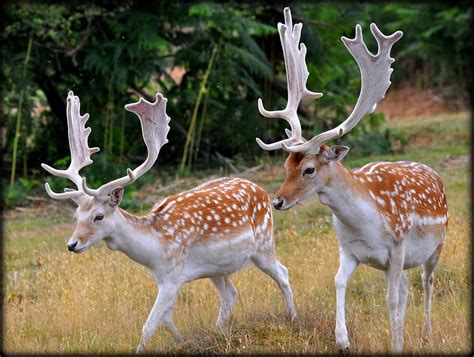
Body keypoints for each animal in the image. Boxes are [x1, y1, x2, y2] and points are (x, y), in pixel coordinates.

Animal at [42, 90, 294, 352]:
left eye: (98, 216)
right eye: (76, 216)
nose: (72, 244)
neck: (154, 249)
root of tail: (262, 190)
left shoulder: (173, 277)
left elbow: (149, 325)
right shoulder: (162, 278)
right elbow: (166, 319)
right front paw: (183, 341)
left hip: (264, 242)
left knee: (283, 273)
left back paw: (292, 319)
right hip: (217, 268)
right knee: (231, 295)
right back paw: (217, 332)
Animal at [258, 6, 446, 352]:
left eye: (309, 169)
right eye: (286, 165)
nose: (277, 201)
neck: (366, 225)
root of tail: (433, 173)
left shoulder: (397, 247)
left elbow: (391, 299)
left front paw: (395, 344)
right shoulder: (349, 250)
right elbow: (339, 281)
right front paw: (342, 338)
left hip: (437, 243)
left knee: (426, 281)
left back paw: (426, 332)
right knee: (407, 286)